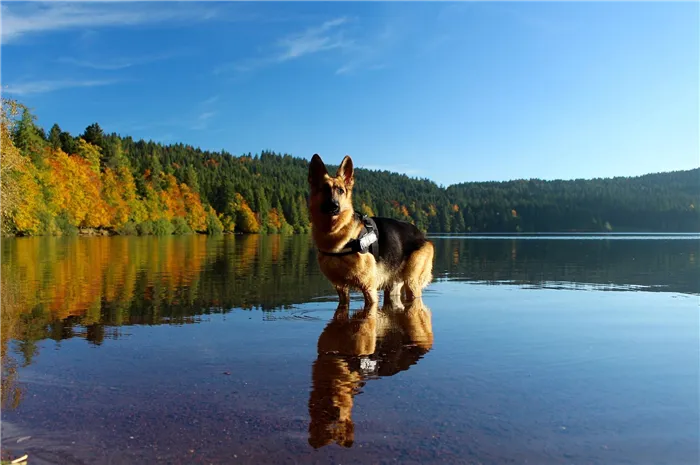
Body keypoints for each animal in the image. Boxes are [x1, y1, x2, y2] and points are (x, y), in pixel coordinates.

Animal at [308, 153, 434, 308]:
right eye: (324, 189)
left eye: (341, 191)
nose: (334, 206)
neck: (335, 233)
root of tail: (422, 235)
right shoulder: (341, 288)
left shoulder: (369, 289)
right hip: (393, 286)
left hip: (411, 282)